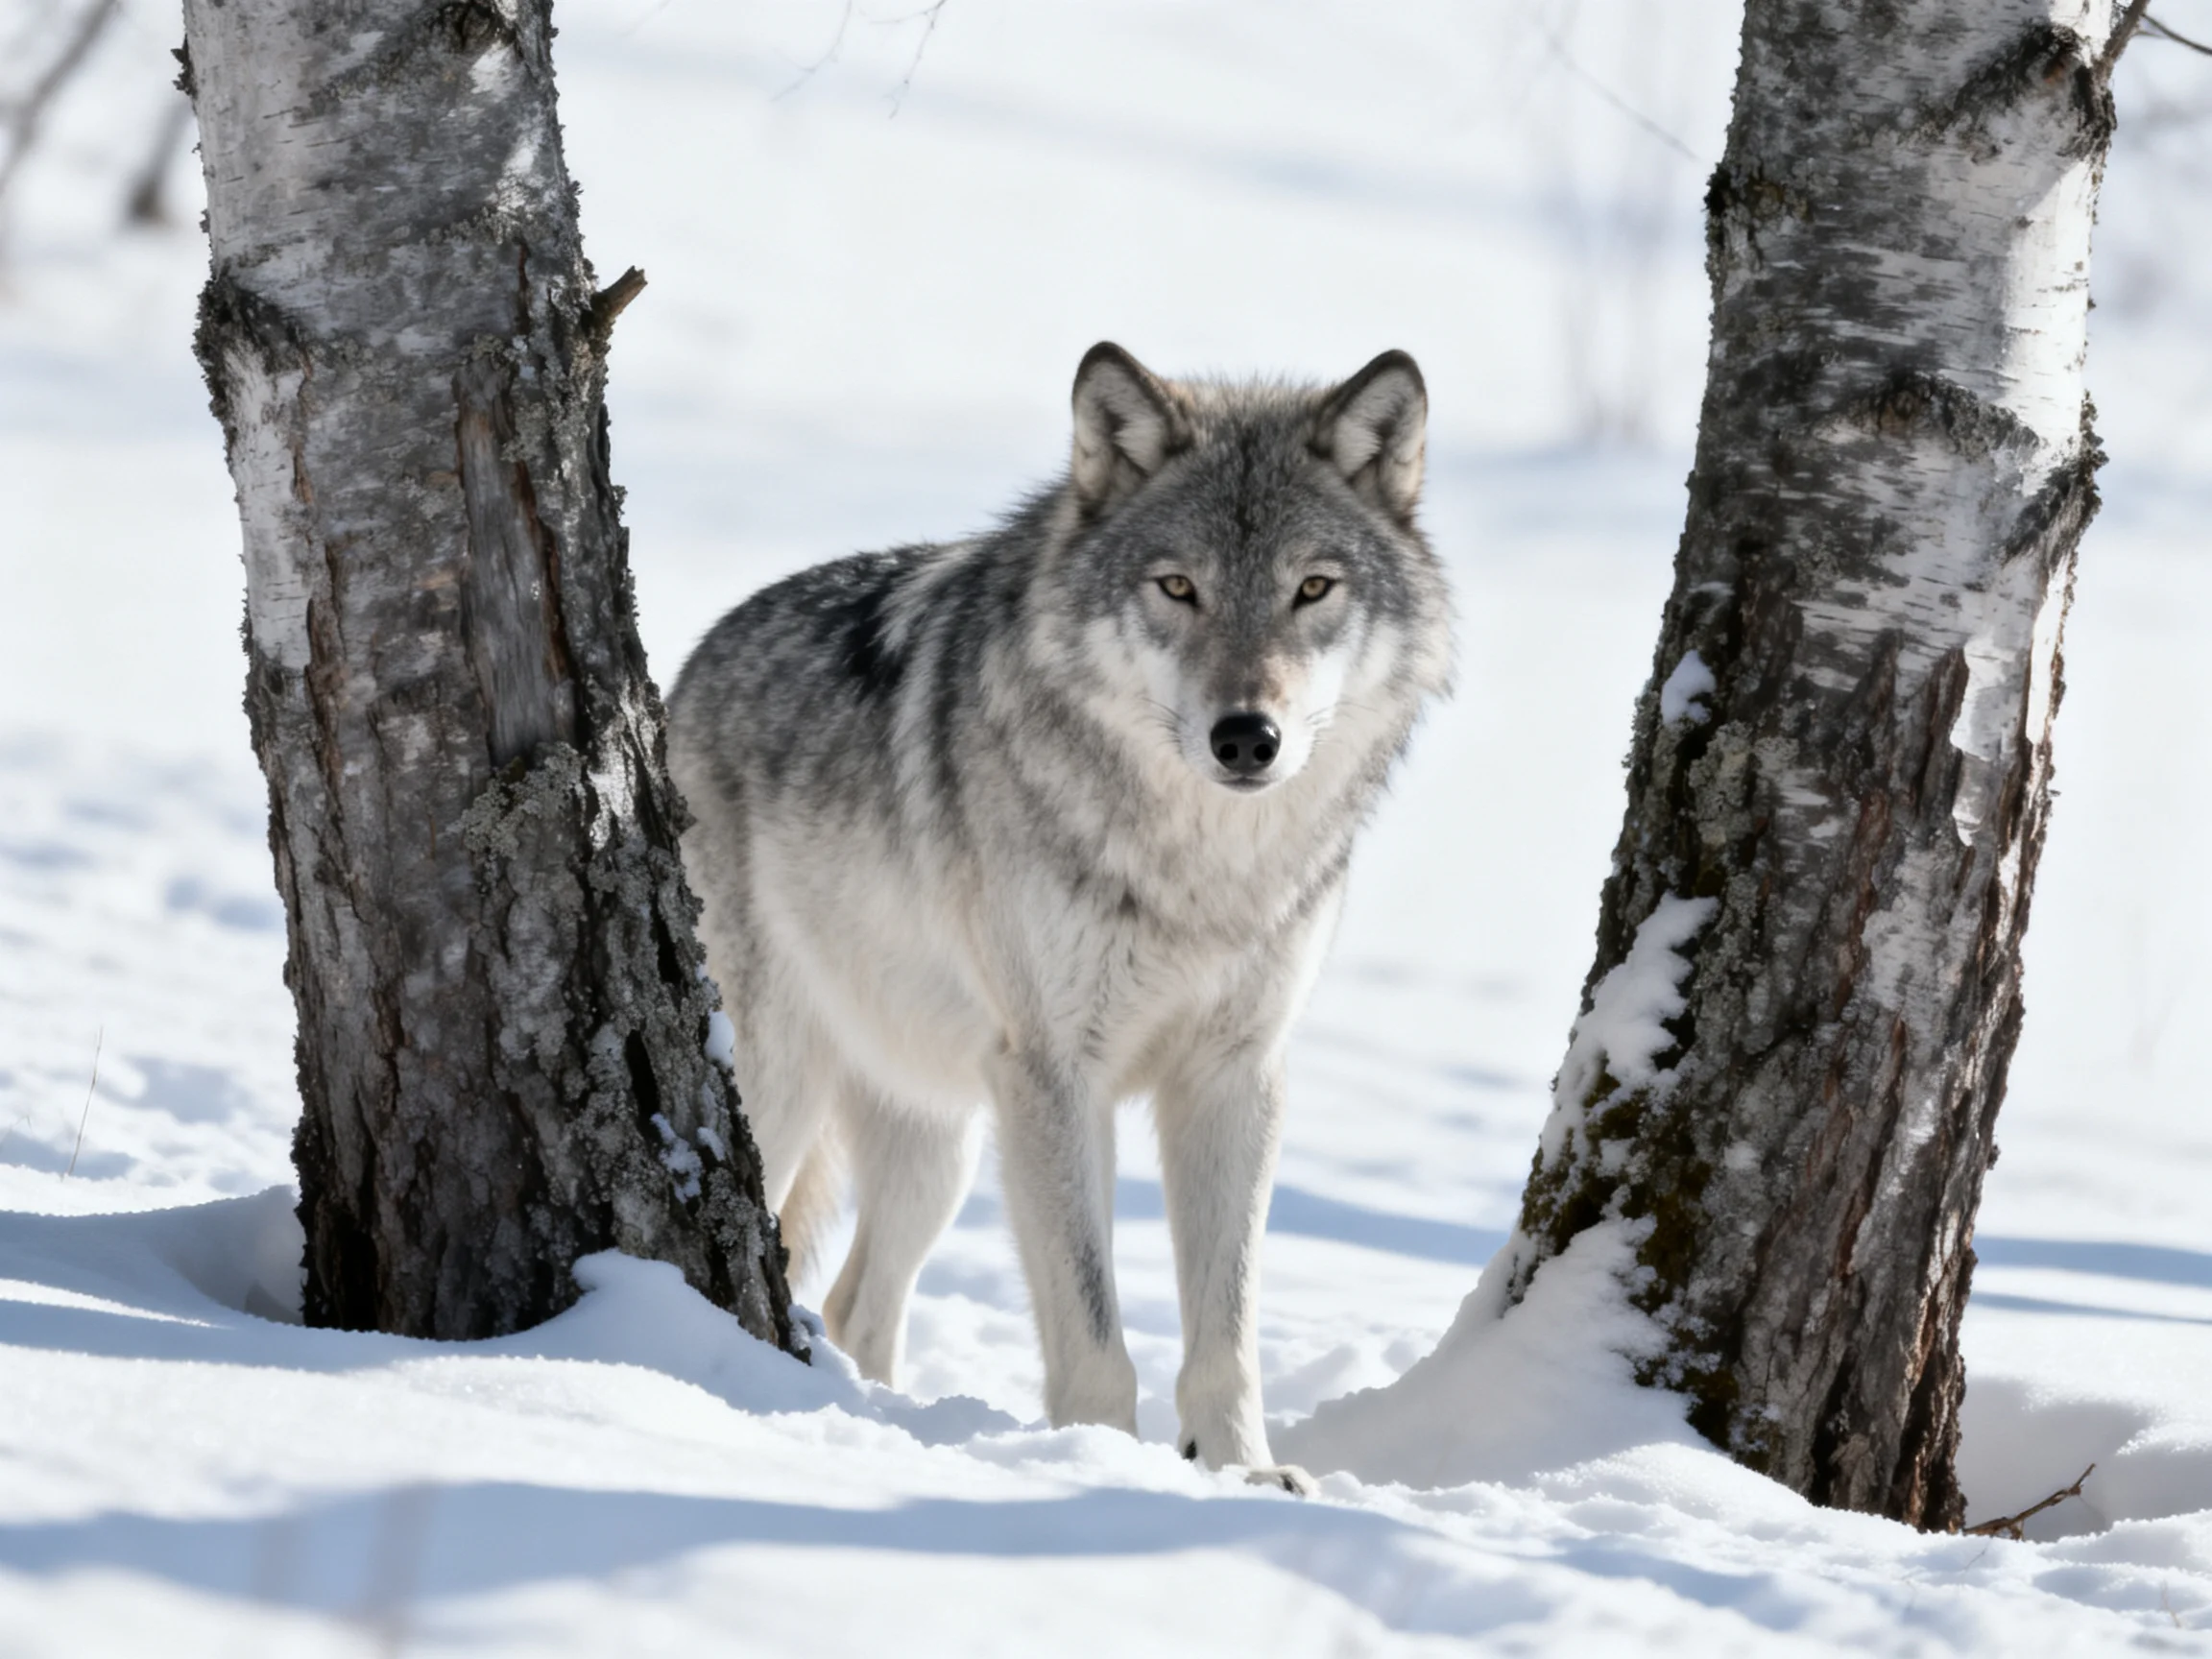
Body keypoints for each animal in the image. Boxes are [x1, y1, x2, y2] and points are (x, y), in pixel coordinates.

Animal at [667, 343, 1452, 1489]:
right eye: (1179, 586)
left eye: (1312, 588)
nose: (1246, 737)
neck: (1201, 873)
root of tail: (682, 673)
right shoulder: (1052, 1075)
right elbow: (1091, 1325)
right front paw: (1104, 1470)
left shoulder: (1233, 1078)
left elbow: (1228, 1328)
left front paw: (1240, 1471)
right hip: (783, 1095)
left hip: (940, 1144)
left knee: (857, 1304)